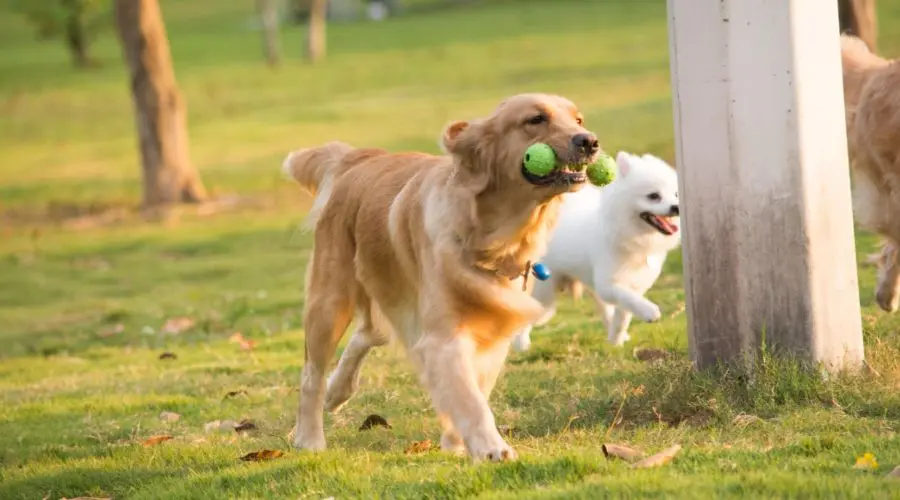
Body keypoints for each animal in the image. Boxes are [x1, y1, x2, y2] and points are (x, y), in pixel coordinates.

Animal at [284, 94, 600, 460]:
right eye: (535, 119)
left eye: (578, 120)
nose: (589, 141)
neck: (495, 240)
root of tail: (359, 158)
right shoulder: (444, 337)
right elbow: (470, 399)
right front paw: (492, 447)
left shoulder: (494, 332)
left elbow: (473, 390)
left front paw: (457, 442)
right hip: (330, 301)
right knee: (312, 375)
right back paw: (310, 437)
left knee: (369, 333)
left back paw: (339, 390)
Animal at [510, 152, 680, 352]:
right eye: (653, 196)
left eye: (676, 194)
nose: (676, 207)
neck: (633, 236)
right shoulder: (608, 285)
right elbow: (627, 298)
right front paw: (649, 311)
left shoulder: (634, 285)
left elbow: (624, 314)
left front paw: (616, 339)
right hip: (545, 294)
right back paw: (520, 344)